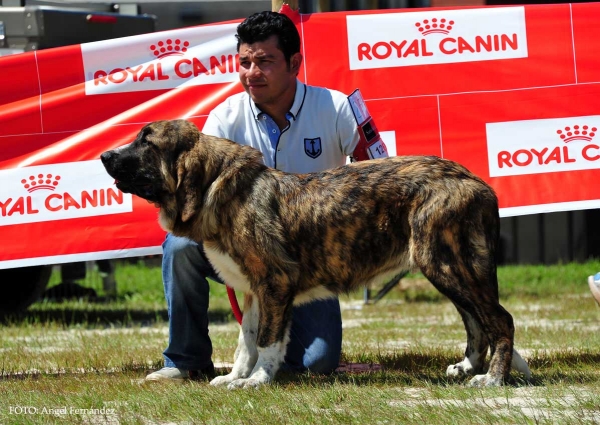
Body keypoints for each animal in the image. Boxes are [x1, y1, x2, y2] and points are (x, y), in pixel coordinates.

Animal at [101, 119, 532, 388]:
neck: (218, 189)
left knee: (499, 320)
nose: (105, 156)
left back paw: (492, 377)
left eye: (146, 140)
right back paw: (469, 367)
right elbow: (246, 341)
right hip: (448, 268)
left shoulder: (274, 283)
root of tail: (475, 181)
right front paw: (236, 376)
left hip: (447, 264)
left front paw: (257, 381)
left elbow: (268, 340)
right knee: (476, 321)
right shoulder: (254, 292)